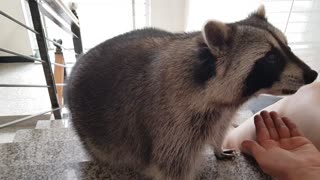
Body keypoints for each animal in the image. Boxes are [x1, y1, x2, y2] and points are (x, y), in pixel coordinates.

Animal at [66, 5, 318, 180]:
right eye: (272, 58)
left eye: (288, 47)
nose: (313, 74)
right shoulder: (171, 123)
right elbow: (171, 166)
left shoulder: (221, 111)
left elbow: (220, 128)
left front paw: (217, 147)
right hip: (92, 131)